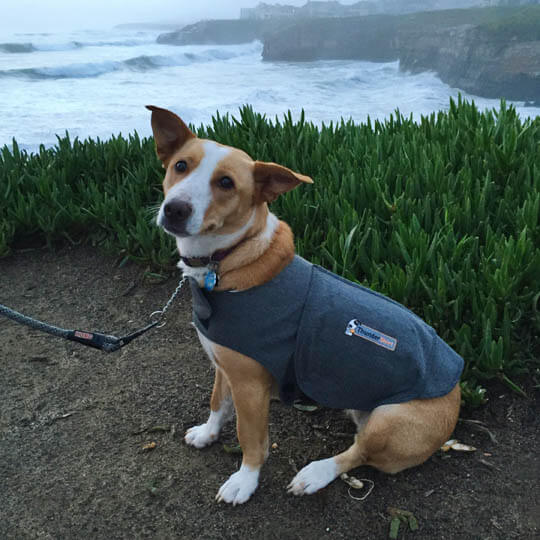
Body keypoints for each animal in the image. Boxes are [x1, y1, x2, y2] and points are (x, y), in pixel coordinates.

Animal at [148, 106, 464, 506]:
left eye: (226, 183)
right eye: (180, 165)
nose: (175, 209)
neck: (228, 259)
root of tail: (457, 390)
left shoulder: (250, 386)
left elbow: (252, 440)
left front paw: (244, 480)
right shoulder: (224, 365)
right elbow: (218, 403)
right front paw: (208, 433)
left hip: (391, 422)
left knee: (359, 452)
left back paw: (315, 474)